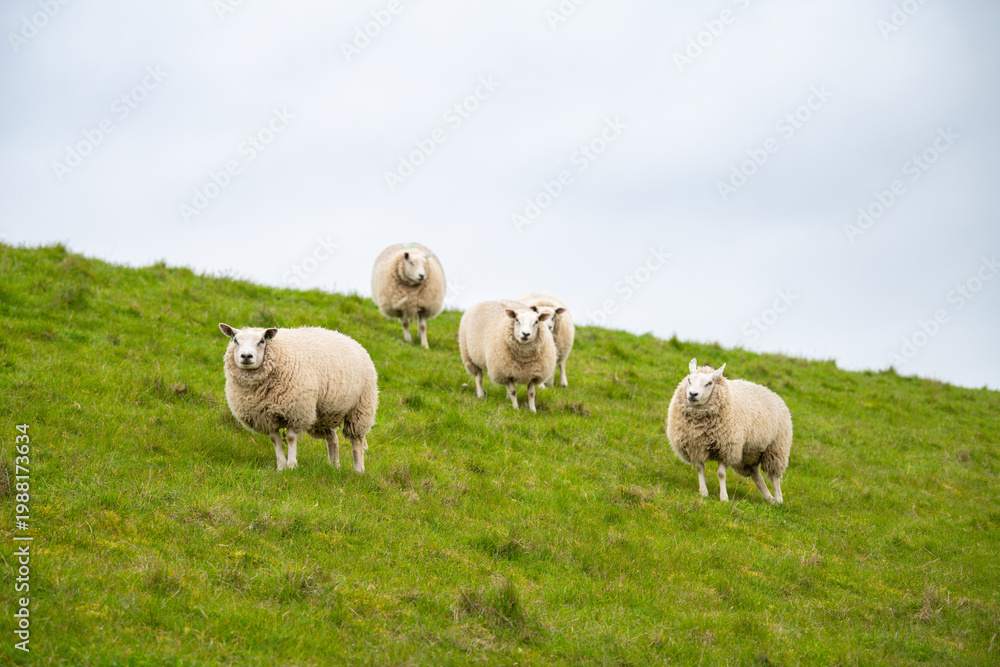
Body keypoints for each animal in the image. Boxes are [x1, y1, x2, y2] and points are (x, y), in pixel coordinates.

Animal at [219, 324, 378, 473]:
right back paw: (334, 467)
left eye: (262, 341)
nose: (246, 356)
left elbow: (290, 438)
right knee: (333, 439)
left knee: (356, 441)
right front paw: (281, 466)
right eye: (235, 340)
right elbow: (275, 439)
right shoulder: (266, 417)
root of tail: (348, 338)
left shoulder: (296, 411)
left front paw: (292, 465)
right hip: (325, 413)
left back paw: (358, 470)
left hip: (360, 408)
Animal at [666, 358, 792, 504]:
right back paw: (769, 498)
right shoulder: (695, 446)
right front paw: (703, 492)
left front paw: (724, 497)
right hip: (748, 453)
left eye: (709, 383)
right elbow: (699, 469)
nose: (692, 394)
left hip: (776, 448)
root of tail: (774, 394)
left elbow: (721, 474)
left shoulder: (727, 448)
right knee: (756, 475)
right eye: (689, 380)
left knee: (774, 476)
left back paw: (778, 500)